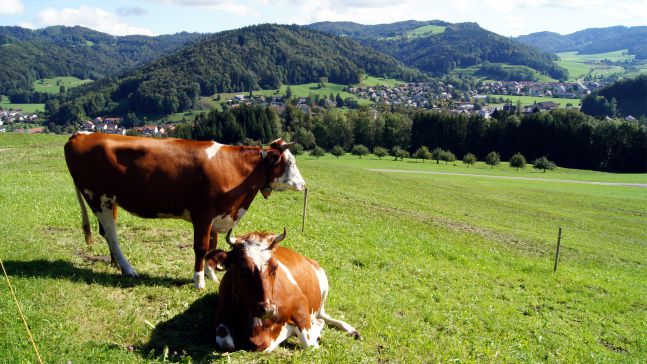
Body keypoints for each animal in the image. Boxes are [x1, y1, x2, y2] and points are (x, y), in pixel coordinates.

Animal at [62, 132, 306, 288]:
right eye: (291, 163)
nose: (303, 185)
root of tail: (81, 135)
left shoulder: (216, 216)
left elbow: (212, 246)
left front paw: (211, 275)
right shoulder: (203, 213)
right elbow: (201, 247)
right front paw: (198, 280)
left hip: (110, 200)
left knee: (106, 232)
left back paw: (116, 265)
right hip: (97, 197)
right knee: (112, 234)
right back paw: (129, 268)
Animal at [206, 229, 360, 352]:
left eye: (274, 268)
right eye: (244, 269)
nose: (268, 309)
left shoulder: (300, 302)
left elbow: (309, 342)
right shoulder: (220, 316)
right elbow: (226, 343)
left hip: (323, 287)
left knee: (323, 317)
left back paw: (350, 329)